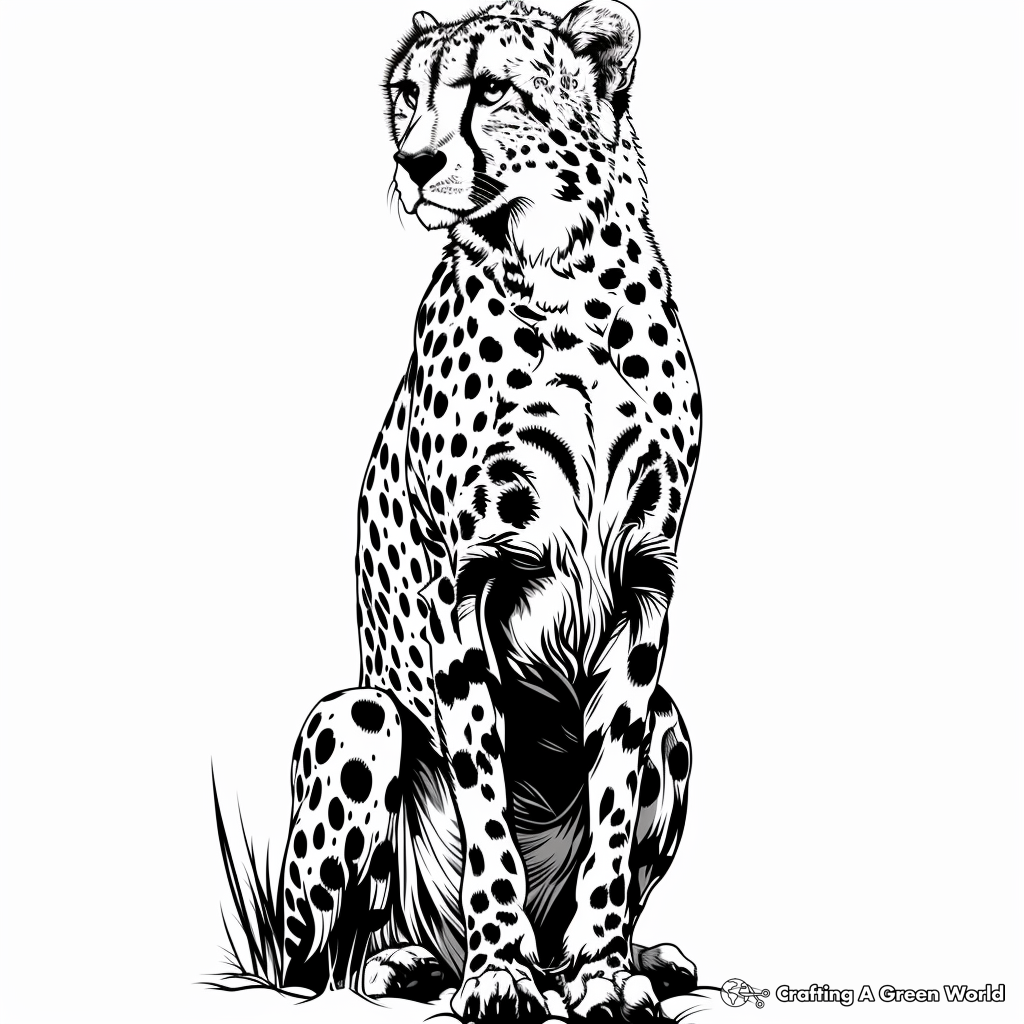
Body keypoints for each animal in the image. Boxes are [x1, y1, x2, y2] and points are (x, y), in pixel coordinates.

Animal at [263, 2, 703, 1020]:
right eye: (407, 92)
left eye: (493, 88)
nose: (415, 161)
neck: (566, 285)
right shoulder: (469, 581)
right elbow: (487, 800)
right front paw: (498, 970)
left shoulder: (646, 585)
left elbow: (612, 805)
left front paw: (604, 972)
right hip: (360, 717)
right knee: (312, 957)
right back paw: (414, 961)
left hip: (675, 724)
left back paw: (624, 954)